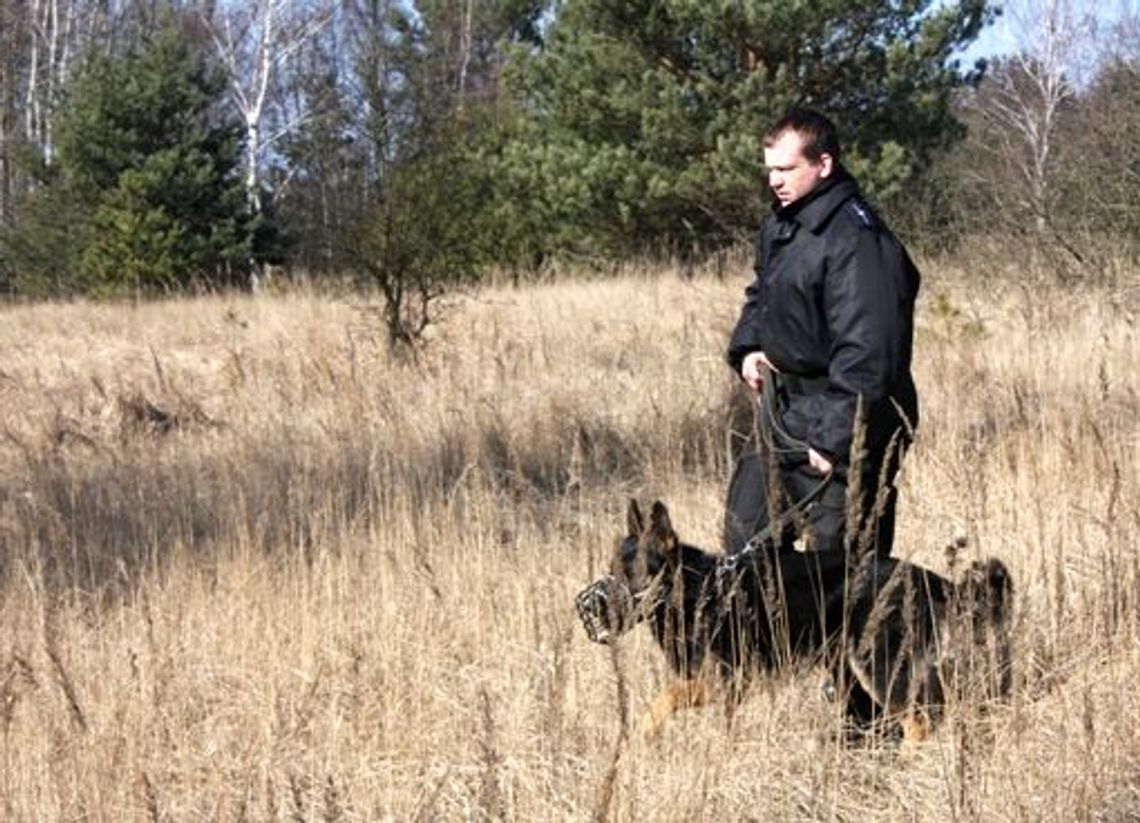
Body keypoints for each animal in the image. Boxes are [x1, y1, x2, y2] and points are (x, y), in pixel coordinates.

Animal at [574, 496, 1012, 738]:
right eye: (611, 569)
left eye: (634, 575)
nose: (592, 608)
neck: (696, 591)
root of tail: (927, 577)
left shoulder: (731, 679)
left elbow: (665, 698)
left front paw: (642, 736)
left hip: (876, 665)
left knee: (919, 722)